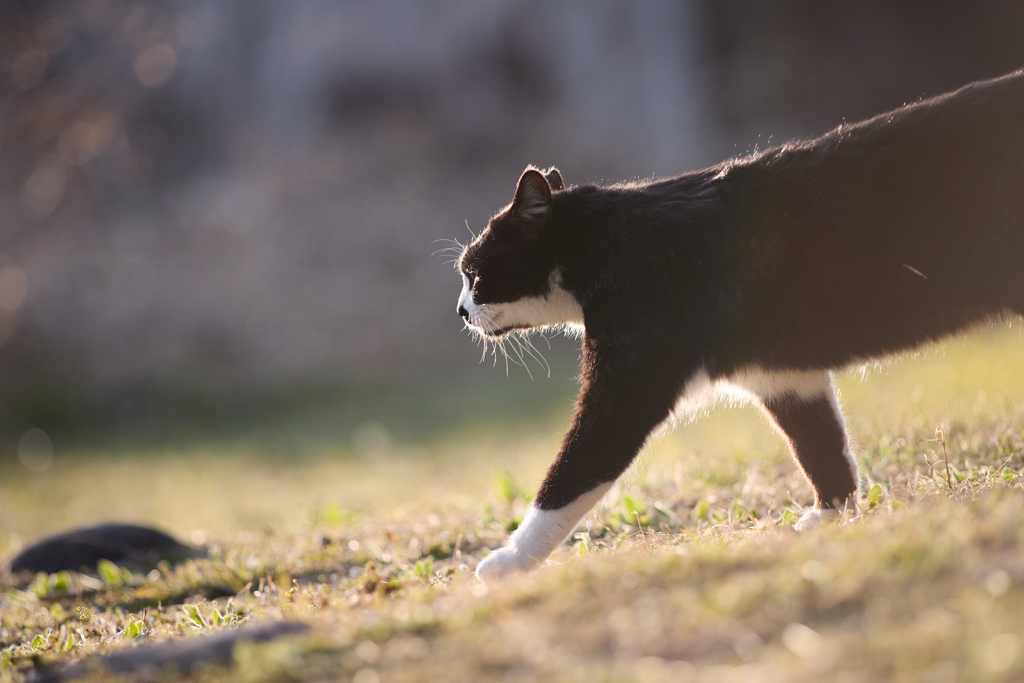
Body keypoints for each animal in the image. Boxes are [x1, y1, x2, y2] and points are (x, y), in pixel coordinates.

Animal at [454, 69, 1024, 581]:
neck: (610, 243)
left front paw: (507, 562)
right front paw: (832, 516)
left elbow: (571, 473)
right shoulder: (782, 375)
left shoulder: (630, 382)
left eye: (473, 273)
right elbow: (821, 445)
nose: (460, 310)